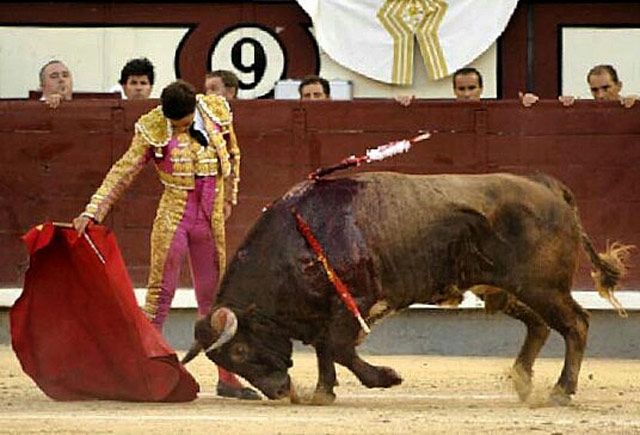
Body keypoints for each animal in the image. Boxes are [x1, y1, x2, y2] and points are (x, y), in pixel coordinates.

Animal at [181, 172, 632, 408]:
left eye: (240, 351)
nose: (279, 393)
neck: (296, 243)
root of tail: (549, 188)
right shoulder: (325, 312)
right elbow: (327, 350)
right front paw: (323, 393)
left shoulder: (353, 305)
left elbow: (339, 348)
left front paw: (386, 378)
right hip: (504, 288)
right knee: (539, 326)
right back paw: (523, 382)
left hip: (542, 287)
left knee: (576, 324)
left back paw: (560, 391)